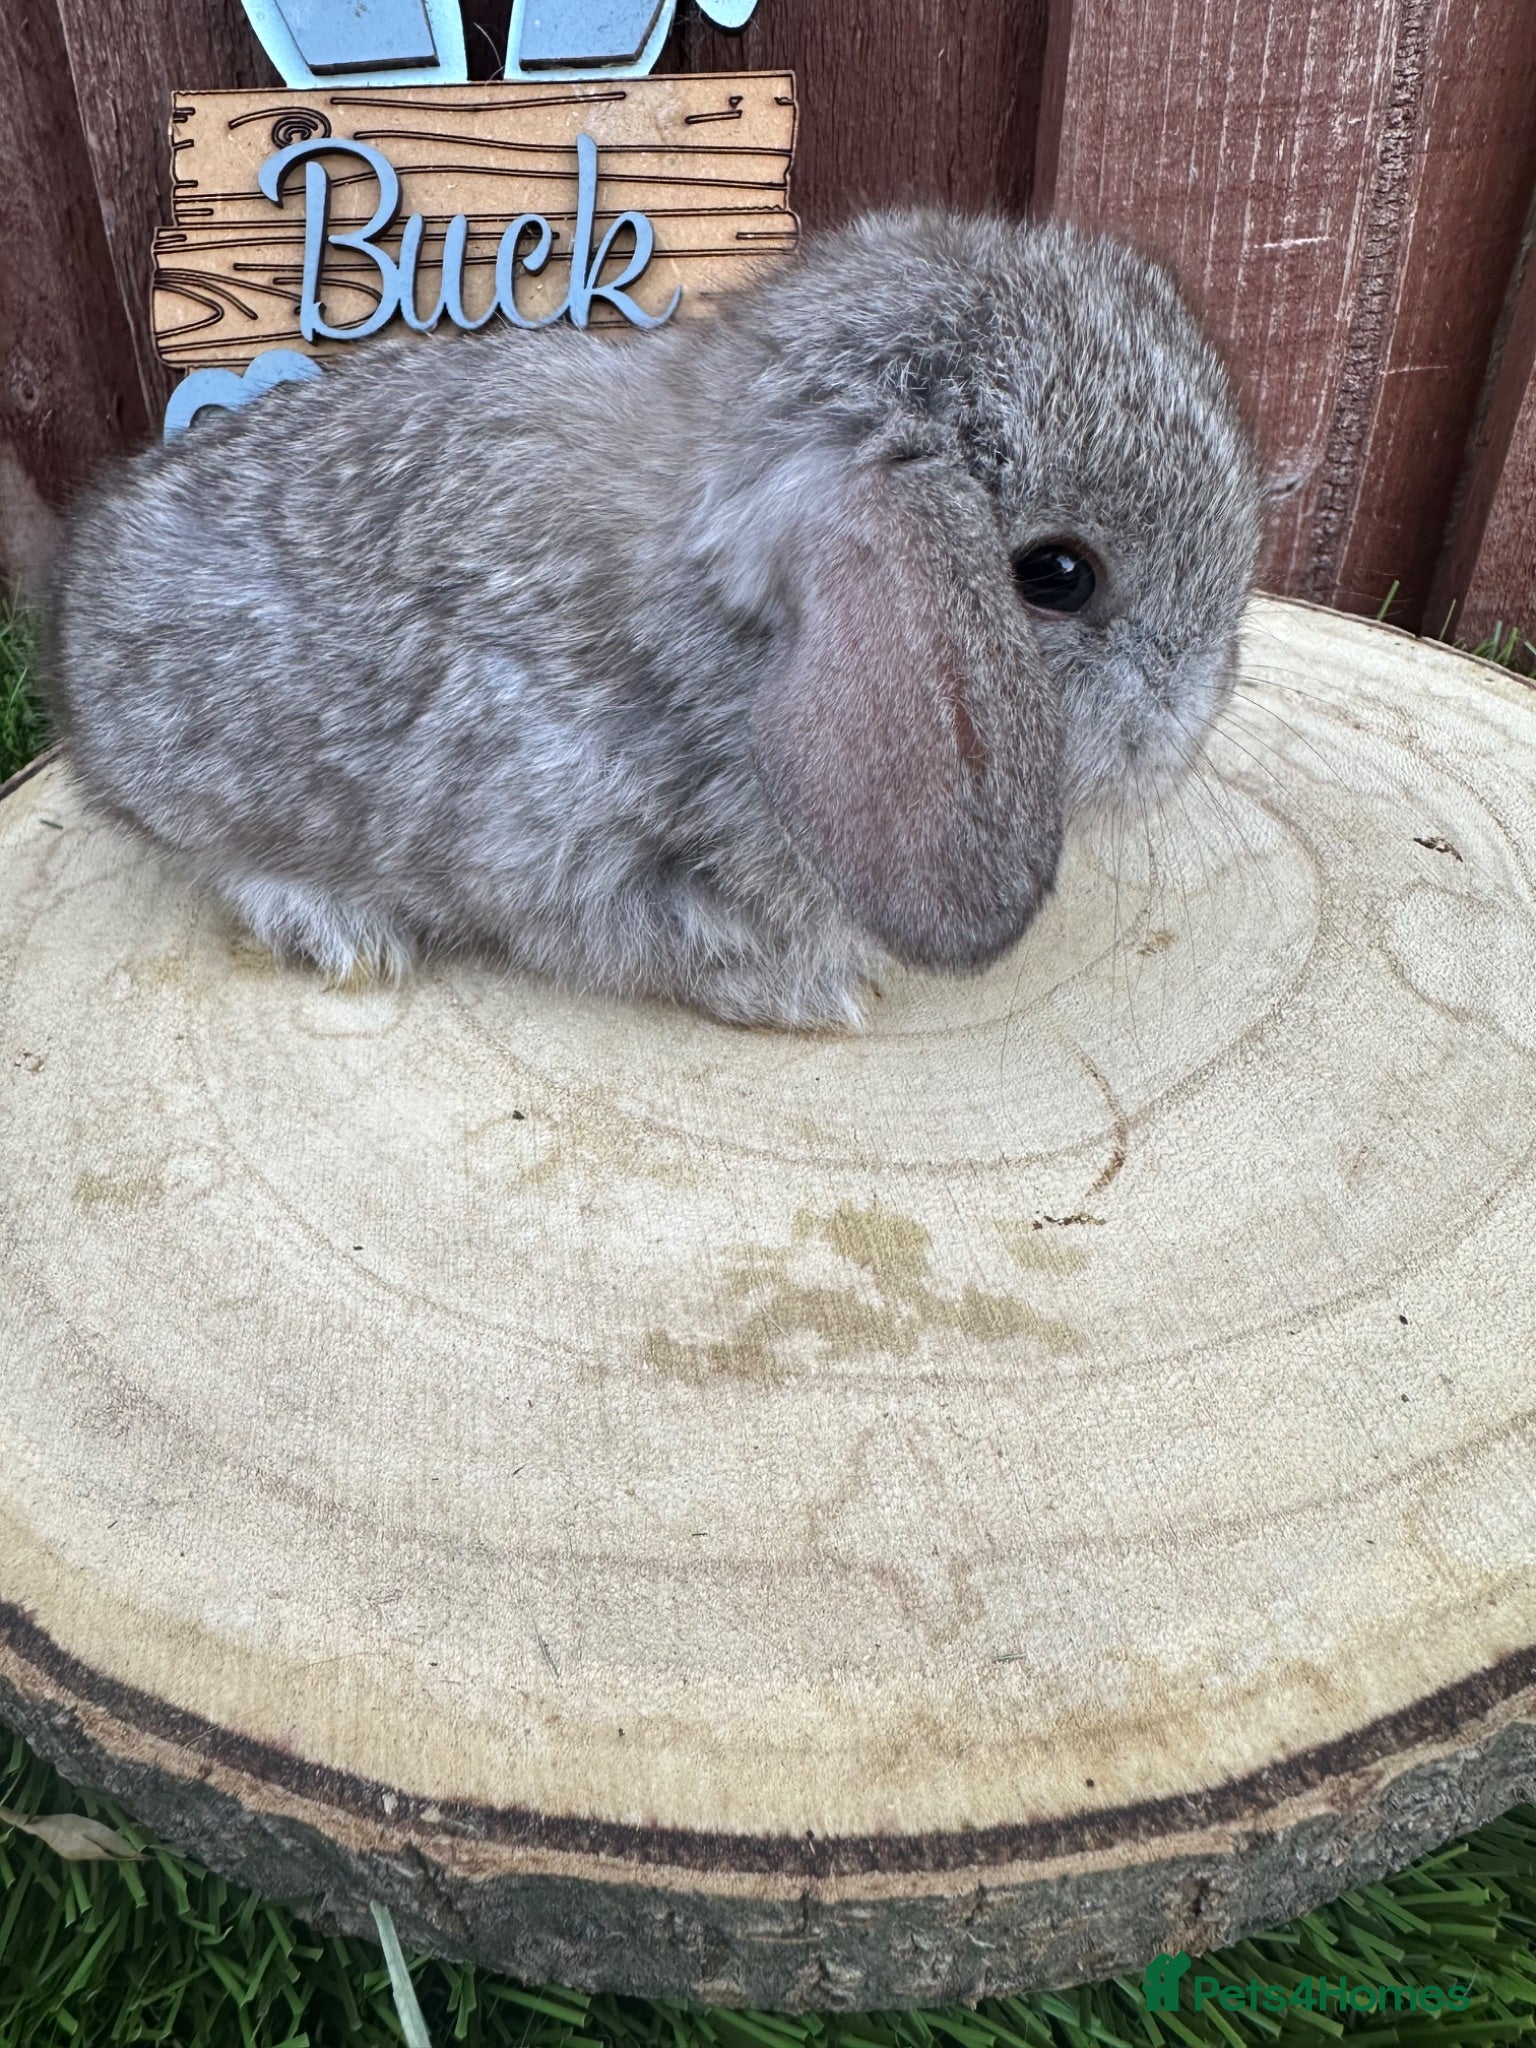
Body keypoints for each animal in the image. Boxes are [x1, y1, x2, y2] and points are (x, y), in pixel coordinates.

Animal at [43, 209, 1261, 1030]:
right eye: (1057, 575)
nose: (1194, 721)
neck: (725, 647)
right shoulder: (565, 852)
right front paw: (813, 992)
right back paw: (339, 932)